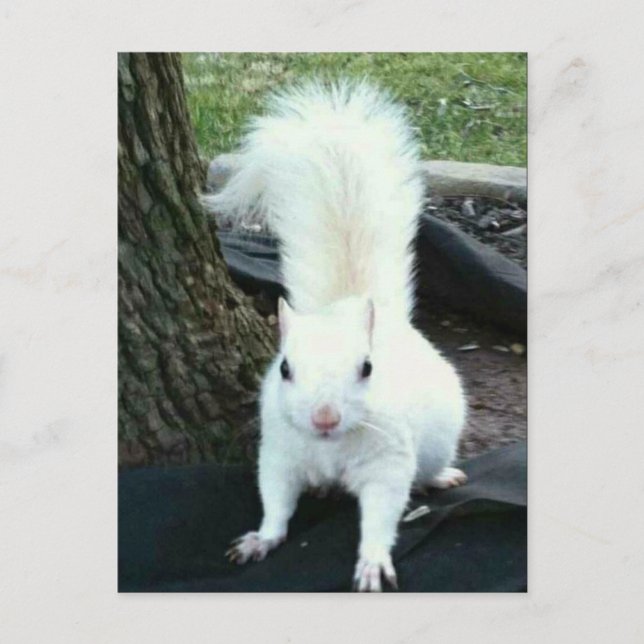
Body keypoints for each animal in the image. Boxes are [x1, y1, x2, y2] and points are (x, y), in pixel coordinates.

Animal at [203, 80, 467, 592]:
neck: (330, 447)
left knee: (429, 466)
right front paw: (261, 539)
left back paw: (441, 476)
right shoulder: (280, 453)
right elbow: (276, 499)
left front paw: (372, 563)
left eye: (367, 368)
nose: (324, 418)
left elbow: (382, 513)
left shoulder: (388, 461)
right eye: (285, 368)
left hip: (440, 436)